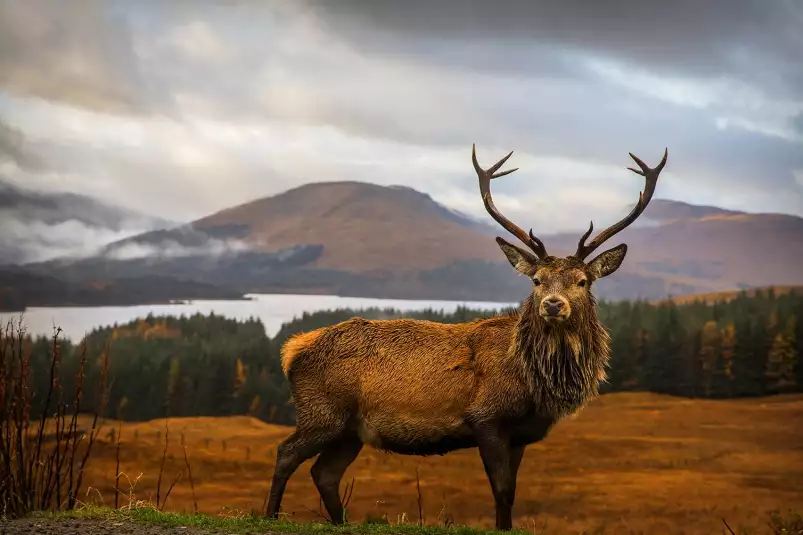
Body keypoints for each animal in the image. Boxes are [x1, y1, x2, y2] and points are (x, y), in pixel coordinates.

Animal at [266, 143, 668, 532]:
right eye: (536, 281)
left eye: (582, 281)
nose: (553, 305)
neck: (535, 384)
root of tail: (291, 350)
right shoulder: (485, 418)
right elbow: (501, 489)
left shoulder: (520, 434)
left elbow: (511, 491)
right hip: (322, 412)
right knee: (286, 453)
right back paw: (270, 516)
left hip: (351, 430)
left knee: (324, 473)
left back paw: (340, 522)